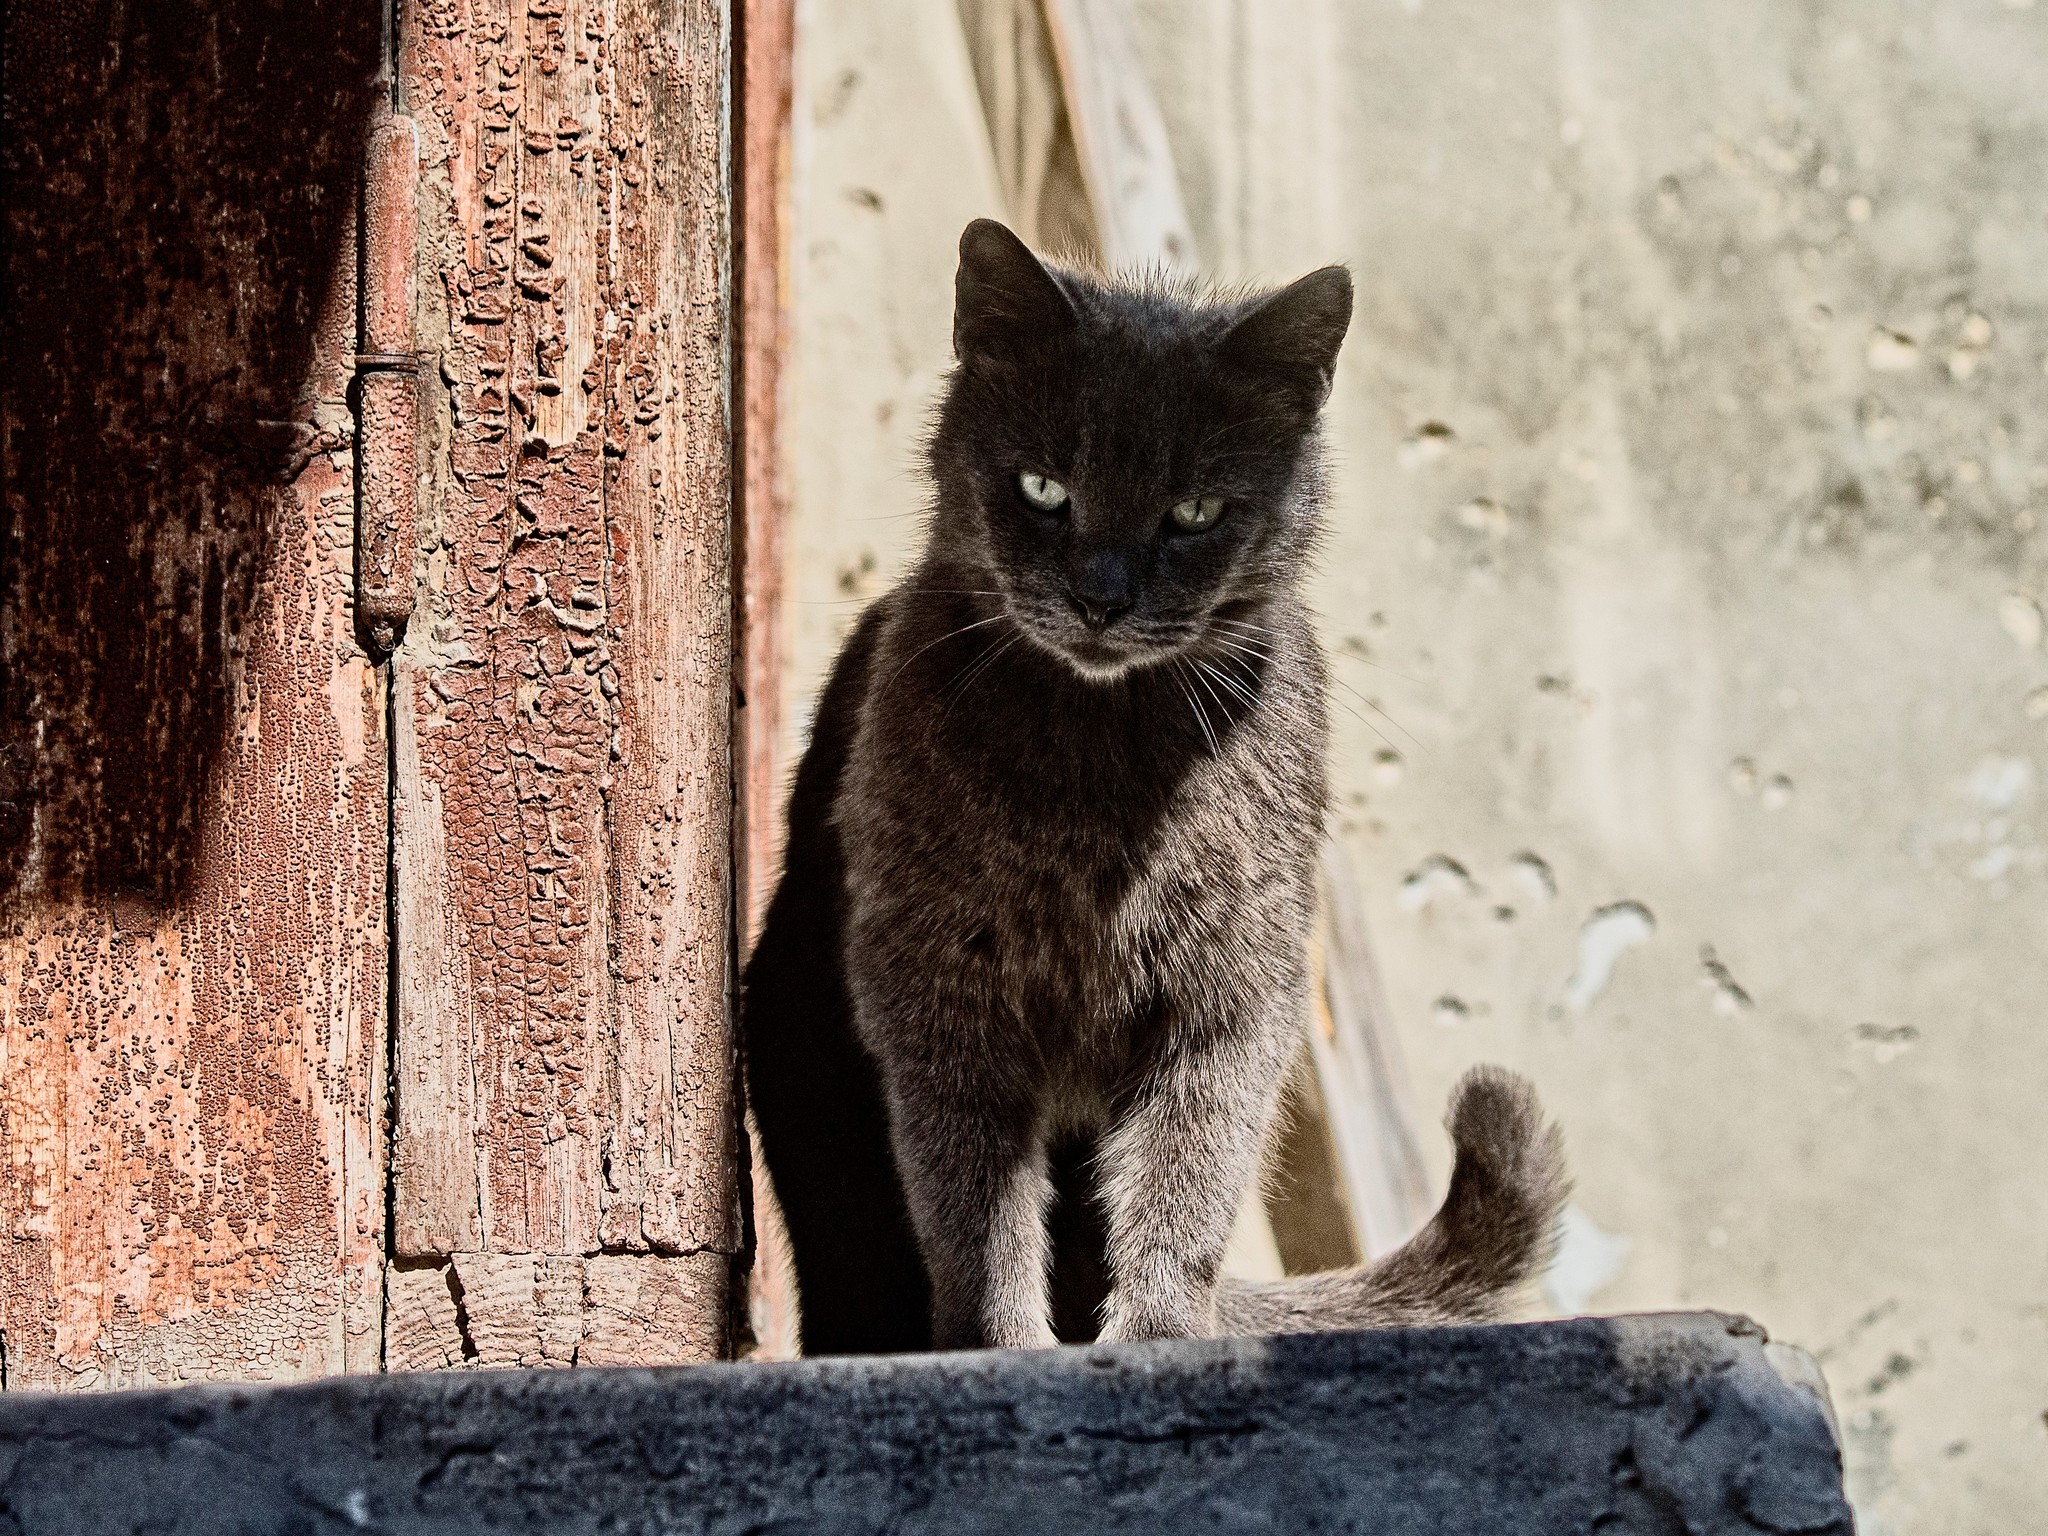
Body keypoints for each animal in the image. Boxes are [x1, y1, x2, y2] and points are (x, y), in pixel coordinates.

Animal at [745, 219, 1556, 1359]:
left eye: (1195, 511)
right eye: (1043, 488)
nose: (1101, 597)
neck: (1101, 775)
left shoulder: (1230, 988)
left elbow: (1186, 1174)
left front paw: (1159, 1337)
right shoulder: (934, 980)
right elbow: (974, 1200)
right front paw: (1000, 1343)